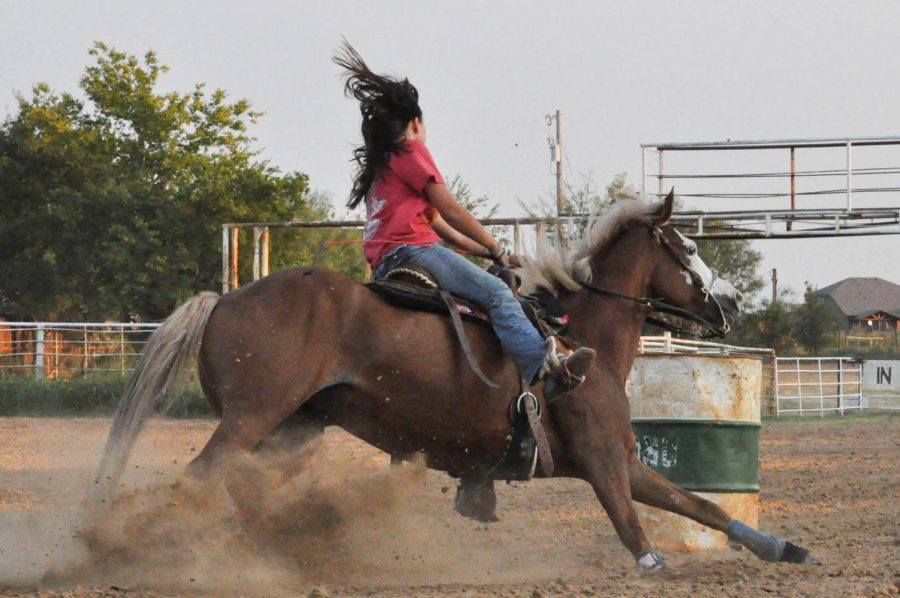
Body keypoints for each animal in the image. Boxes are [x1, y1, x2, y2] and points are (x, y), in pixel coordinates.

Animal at [96, 192, 816, 576]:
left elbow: (703, 506)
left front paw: (782, 547)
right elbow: (635, 529)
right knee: (199, 480)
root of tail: (221, 299)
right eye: (686, 249)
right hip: (252, 418)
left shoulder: (625, 461)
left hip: (294, 428)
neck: (582, 340)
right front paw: (655, 567)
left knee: (245, 489)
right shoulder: (603, 462)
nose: (730, 303)